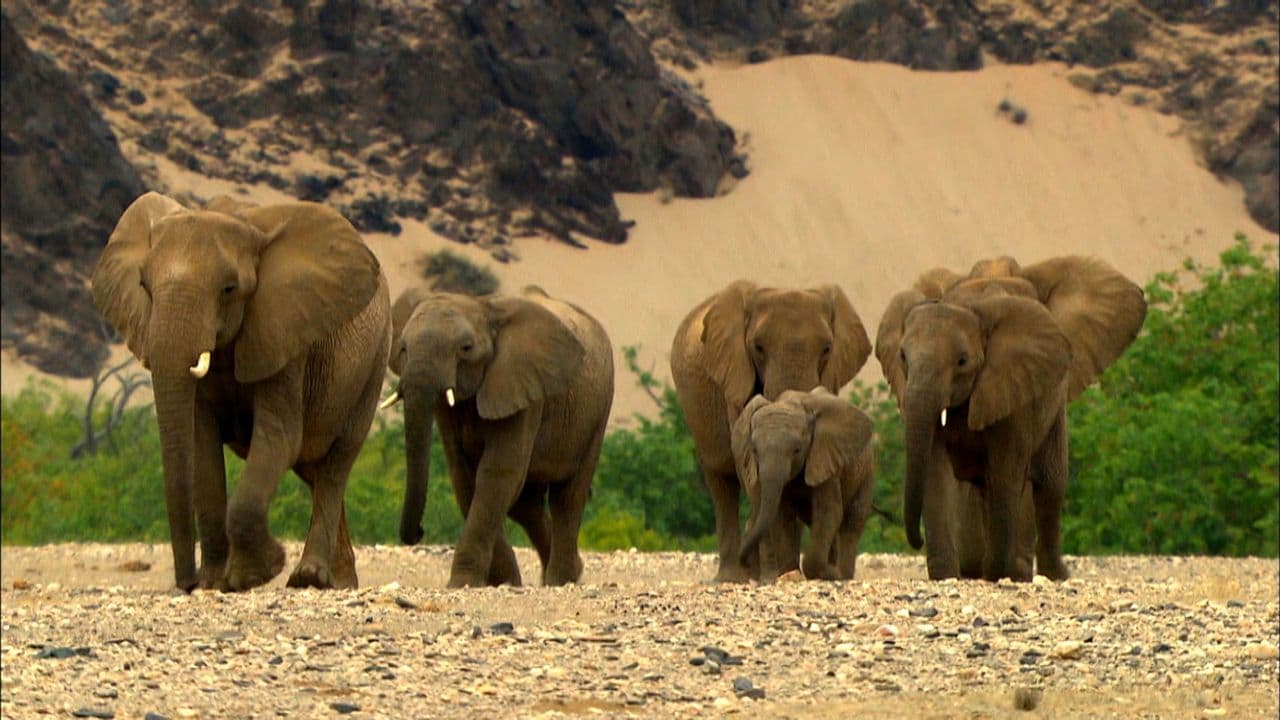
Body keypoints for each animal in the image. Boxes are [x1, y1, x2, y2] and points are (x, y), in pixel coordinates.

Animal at [91, 192, 392, 592]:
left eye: (229, 289)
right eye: (144, 286)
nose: (187, 583)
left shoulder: (283, 334)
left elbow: (279, 437)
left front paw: (256, 573)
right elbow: (201, 445)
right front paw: (215, 582)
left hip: (374, 360)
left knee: (336, 463)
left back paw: (309, 577)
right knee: (312, 469)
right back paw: (339, 582)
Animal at [382, 285, 613, 588]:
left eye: (466, 348)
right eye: (403, 348)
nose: (419, 532)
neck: (483, 307)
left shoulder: (522, 386)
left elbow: (496, 475)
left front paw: (464, 583)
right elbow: (465, 478)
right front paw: (503, 583)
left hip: (597, 411)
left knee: (567, 497)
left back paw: (561, 580)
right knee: (526, 505)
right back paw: (567, 571)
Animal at [731, 388, 875, 583]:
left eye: (797, 450)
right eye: (754, 450)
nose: (744, 563)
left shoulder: (824, 458)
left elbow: (829, 511)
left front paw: (829, 573)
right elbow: (781, 516)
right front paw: (790, 573)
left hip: (866, 472)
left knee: (852, 521)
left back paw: (843, 575)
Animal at [875, 255, 1147, 582]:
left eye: (962, 361)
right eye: (903, 357)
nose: (915, 542)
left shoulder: (1016, 384)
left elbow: (1006, 472)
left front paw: (997, 574)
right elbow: (936, 472)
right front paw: (946, 576)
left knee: (1050, 485)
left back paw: (1045, 574)